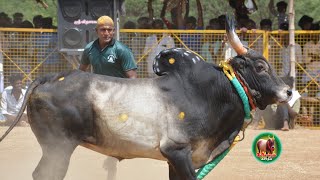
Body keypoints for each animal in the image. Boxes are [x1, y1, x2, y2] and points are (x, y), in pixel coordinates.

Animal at [0, 16, 292, 180]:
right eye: (260, 67)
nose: (288, 92)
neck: (212, 94)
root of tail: (51, 77)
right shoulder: (177, 152)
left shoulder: (177, 160)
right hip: (58, 146)